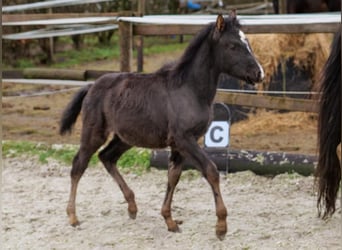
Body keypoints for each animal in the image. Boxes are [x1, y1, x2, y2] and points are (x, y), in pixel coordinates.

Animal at [60, 12, 264, 240]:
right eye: (232, 46)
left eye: (247, 42)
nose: (259, 73)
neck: (189, 90)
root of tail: (91, 85)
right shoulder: (184, 140)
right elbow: (211, 171)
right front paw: (221, 227)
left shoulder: (180, 144)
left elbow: (173, 177)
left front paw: (170, 220)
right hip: (94, 133)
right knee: (78, 165)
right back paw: (73, 217)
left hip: (125, 138)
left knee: (107, 157)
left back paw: (132, 206)